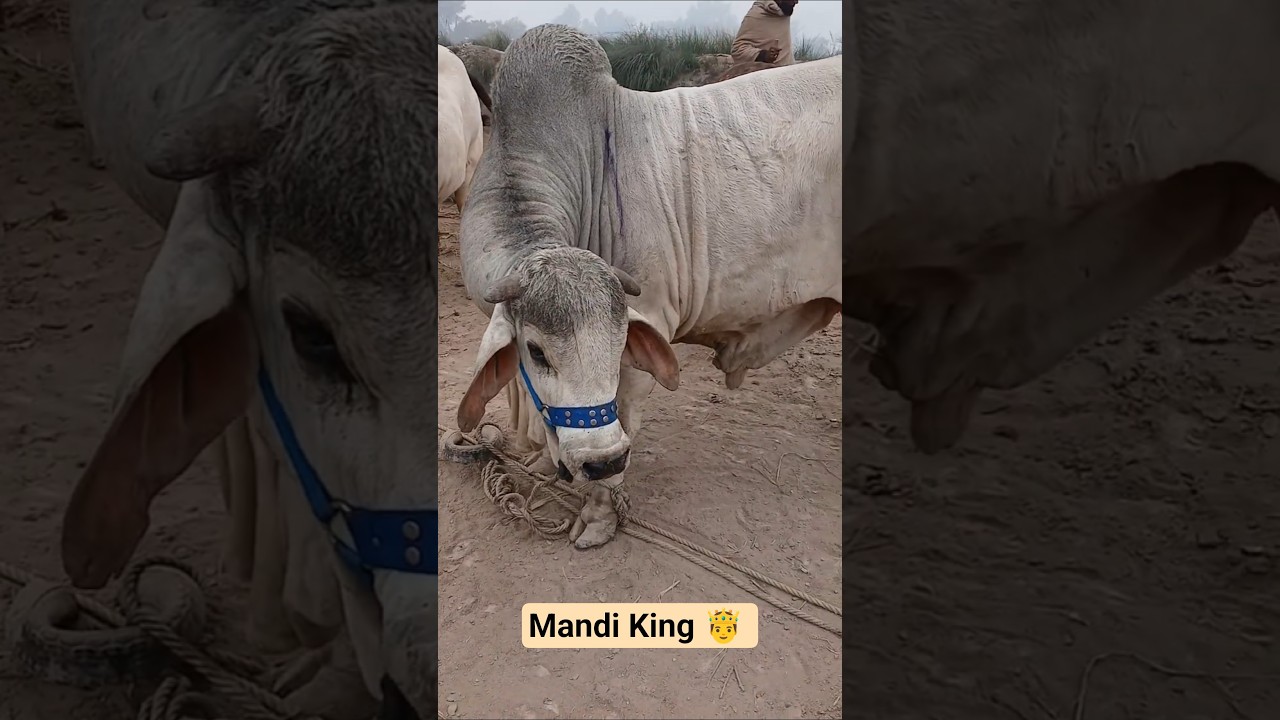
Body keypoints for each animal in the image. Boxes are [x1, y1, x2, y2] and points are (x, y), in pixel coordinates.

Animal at [454, 24, 841, 549]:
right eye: (535, 352)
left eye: (620, 341)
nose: (602, 460)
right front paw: (543, 465)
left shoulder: (648, 323)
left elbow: (623, 414)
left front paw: (599, 516)